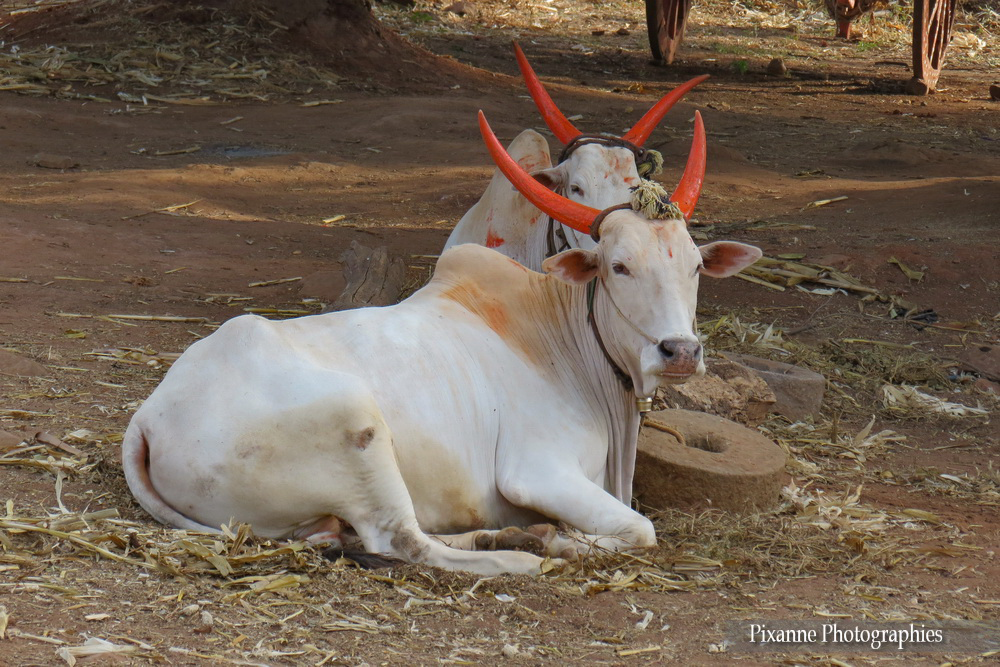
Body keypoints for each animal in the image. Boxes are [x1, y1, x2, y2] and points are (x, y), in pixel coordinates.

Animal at [121, 110, 761, 576]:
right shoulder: (536, 471)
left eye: (696, 266)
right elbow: (640, 528)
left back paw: (507, 533)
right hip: (358, 427)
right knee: (403, 541)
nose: (680, 352)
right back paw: (522, 551)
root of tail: (150, 417)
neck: (562, 342)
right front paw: (562, 541)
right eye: (619, 266)